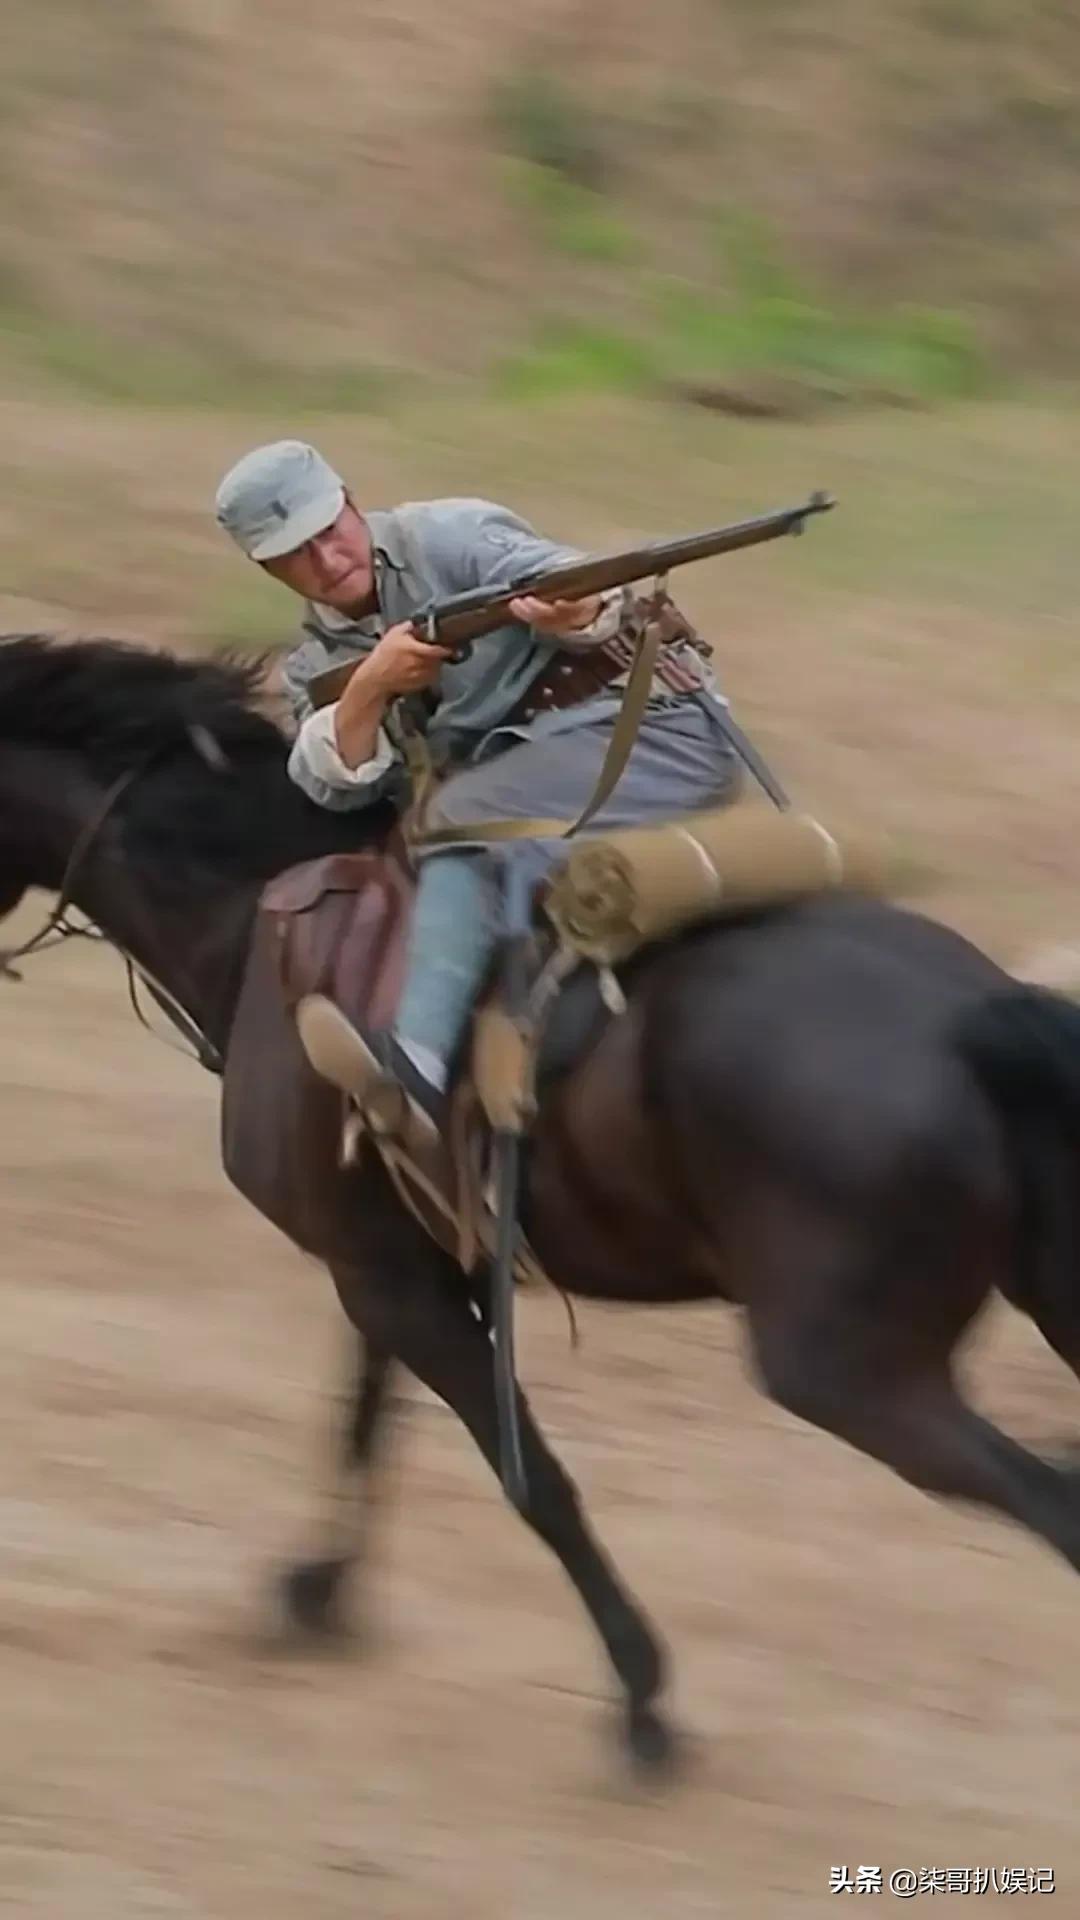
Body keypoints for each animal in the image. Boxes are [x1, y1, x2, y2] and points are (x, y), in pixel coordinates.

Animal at [2, 641, 1076, 1766]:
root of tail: (970, 1018)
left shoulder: (385, 1280)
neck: (256, 920)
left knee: (1052, 1497)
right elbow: (368, 1417)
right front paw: (316, 1591)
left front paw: (643, 1702)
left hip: (847, 1371)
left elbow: (530, 1478)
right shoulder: (404, 1264)